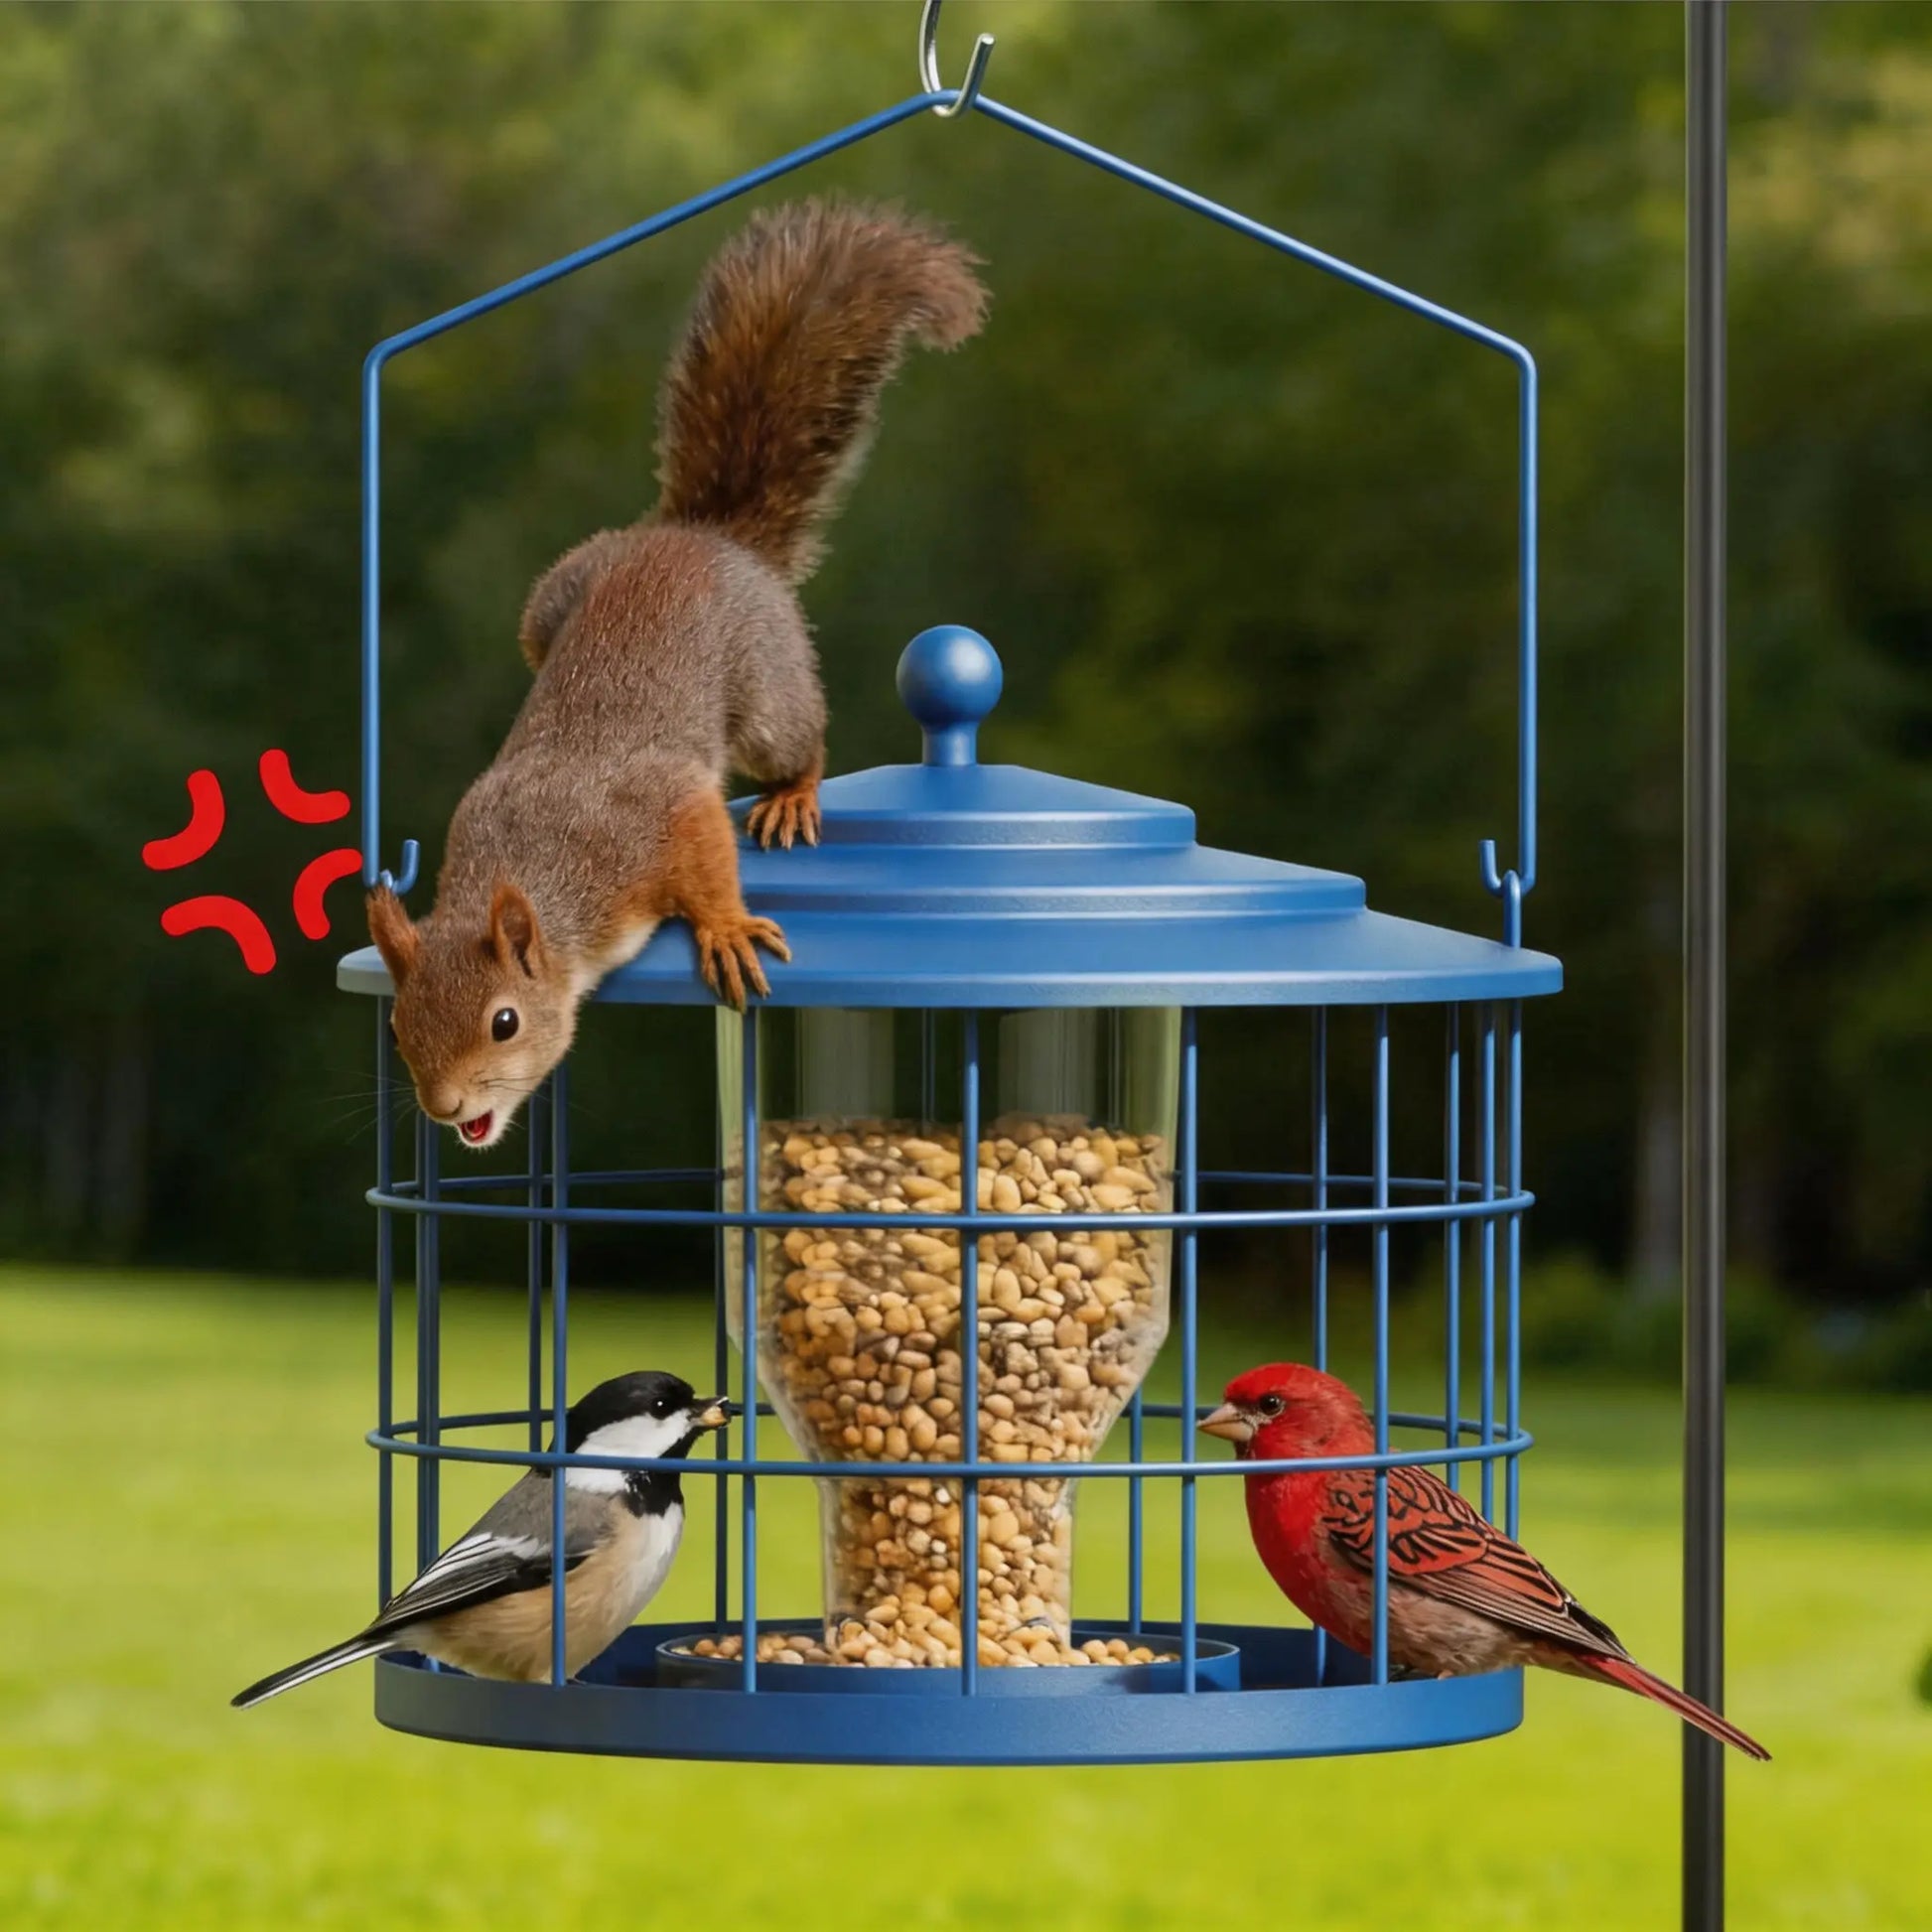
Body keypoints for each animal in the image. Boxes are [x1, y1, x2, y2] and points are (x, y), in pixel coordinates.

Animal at [366, 199, 988, 1151]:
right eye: (397, 1027)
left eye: (505, 1021)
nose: (445, 1107)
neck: (541, 877)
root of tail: (707, 535)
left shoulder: (652, 820)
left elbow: (700, 838)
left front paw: (724, 927)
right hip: (547, 607)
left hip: (766, 685)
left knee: (799, 740)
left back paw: (792, 796)